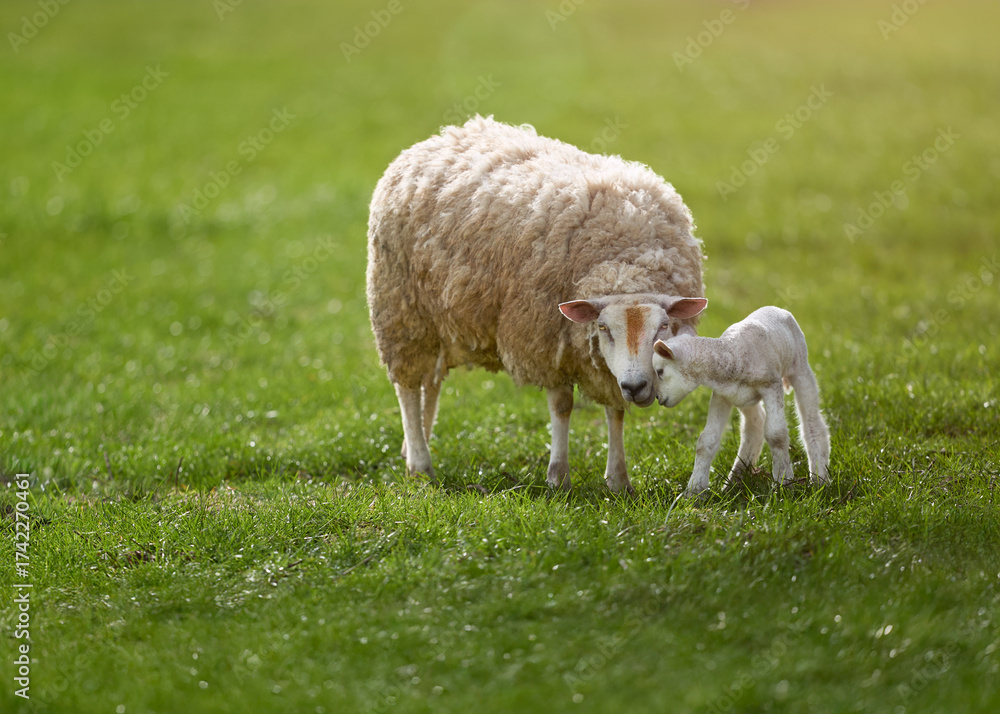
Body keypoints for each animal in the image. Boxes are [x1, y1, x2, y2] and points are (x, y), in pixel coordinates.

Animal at [367, 115, 706, 493]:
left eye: (663, 326)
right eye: (603, 328)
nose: (636, 387)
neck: (625, 257)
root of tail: (445, 135)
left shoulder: (603, 364)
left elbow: (615, 410)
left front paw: (618, 480)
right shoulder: (547, 340)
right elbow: (562, 406)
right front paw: (558, 476)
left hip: (435, 320)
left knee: (431, 383)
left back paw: (414, 445)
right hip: (400, 310)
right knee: (409, 388)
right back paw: (420, 464)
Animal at [652, 306, 830, 496]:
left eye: (660, 371)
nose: (658, 397)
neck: (733, 352)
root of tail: (777, 308)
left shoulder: (771, 385)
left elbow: (777, 434)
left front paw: (784, 483)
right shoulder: (721, 395)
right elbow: (706, 440)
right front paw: (694, 491)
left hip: (800, 366)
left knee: (812, 422)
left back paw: (820, 479)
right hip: (744, 398)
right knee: (755, 425)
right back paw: (734, 480)